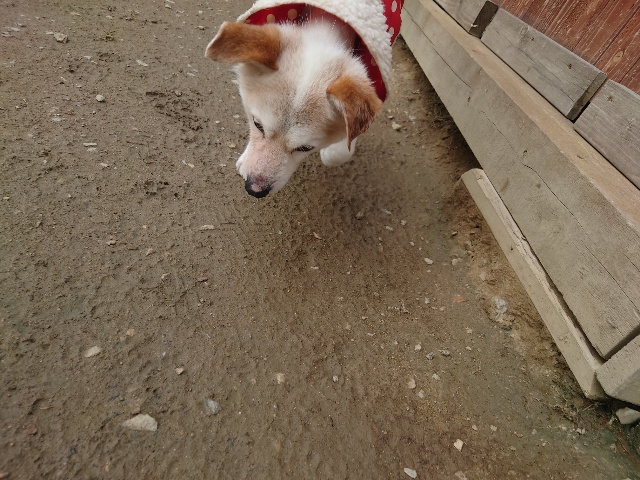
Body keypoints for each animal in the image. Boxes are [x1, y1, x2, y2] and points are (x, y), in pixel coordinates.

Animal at [205, 0, 404, 197]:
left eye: (305, 148)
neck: (330, 20)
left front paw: (334, 148)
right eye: (257, 124)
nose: (254, 190)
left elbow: (341, 150)